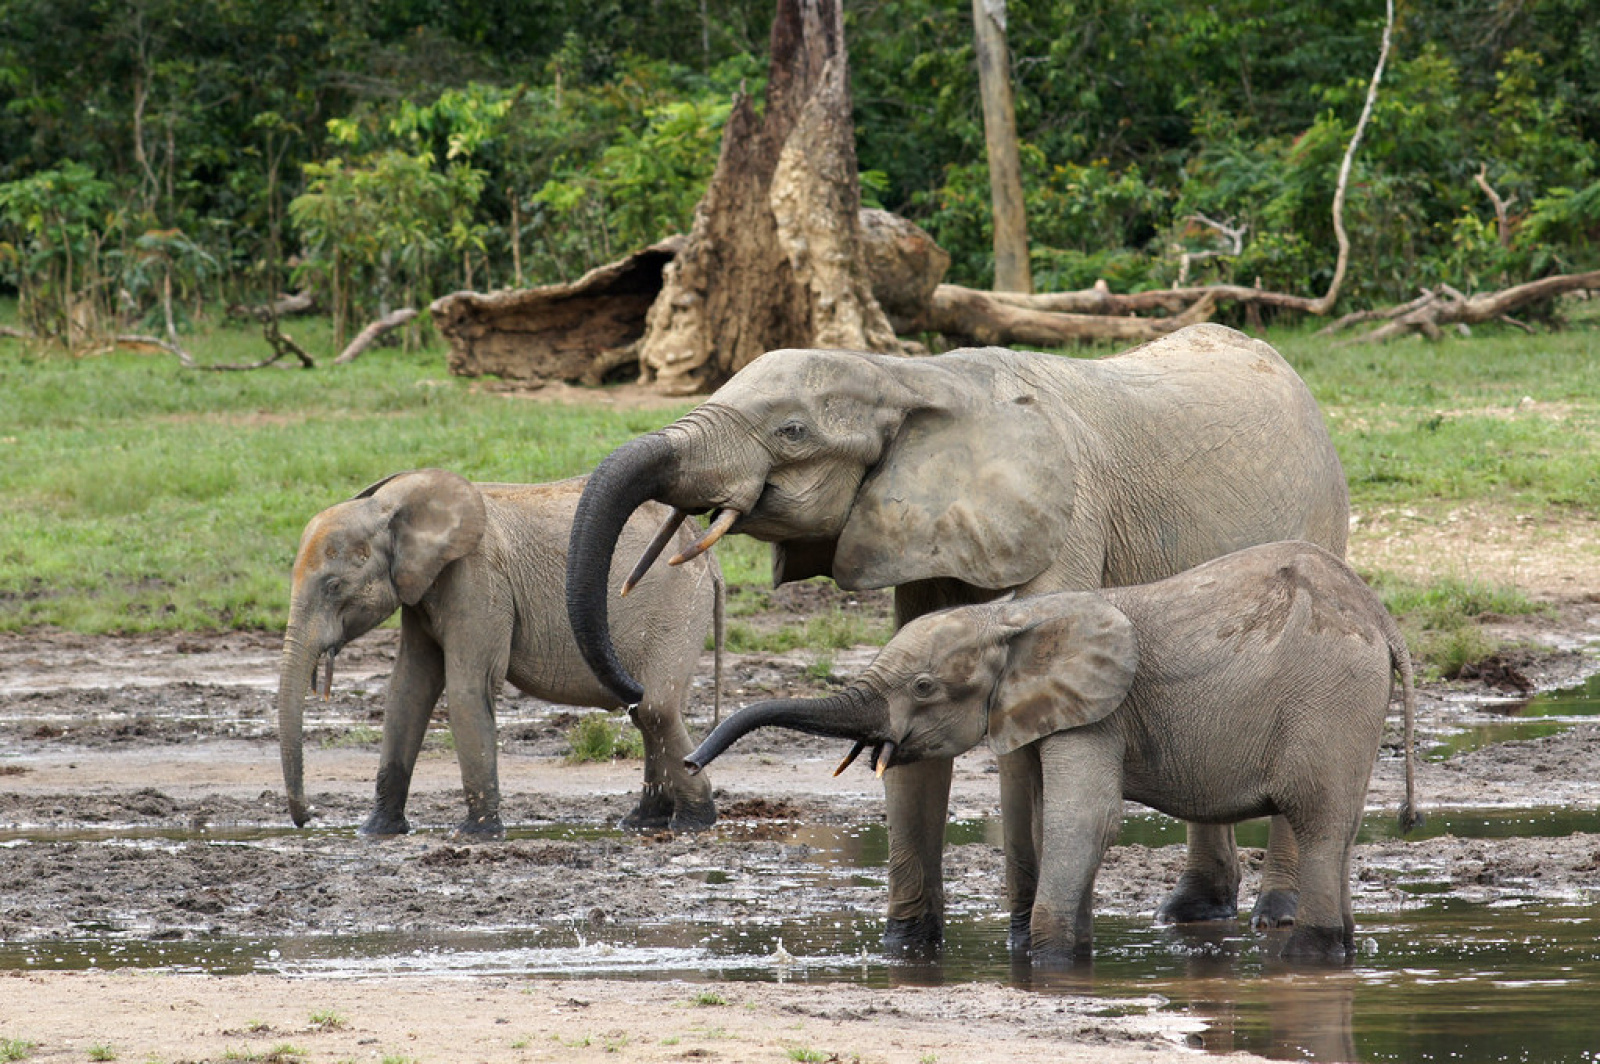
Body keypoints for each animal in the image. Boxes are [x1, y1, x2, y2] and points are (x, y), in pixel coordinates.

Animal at [276, 470, 726, 832]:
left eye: (334, 587)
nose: (308, 818)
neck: (388, 506)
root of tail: (709, 557)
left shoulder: (477, 578)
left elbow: (467, 687)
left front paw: (477, 834)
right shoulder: (420, 590)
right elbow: (408, 689)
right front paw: (376, 832)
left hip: (677, 603)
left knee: (656, 708)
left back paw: (694, 822)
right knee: (649, 712)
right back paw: (641, 822)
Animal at [563, 321, 1350, 947]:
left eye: (792, 432)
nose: (632, 687)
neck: (910, 376)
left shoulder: (1063, 519)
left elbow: (1023, 740)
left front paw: (1019, 943)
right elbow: (911, 732)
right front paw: (906, 948)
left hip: (1321, 518)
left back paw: (1274, 918)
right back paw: (1192, 914)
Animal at [681, 544, 1420, 960]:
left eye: (923, 687)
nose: (691, 762)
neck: (1010, 618)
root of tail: (1384, 619)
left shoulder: (1100, 713)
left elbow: (1083, 817)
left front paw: (1052, 961)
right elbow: (1044, 814)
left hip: (1329, 700)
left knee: (1318, 822)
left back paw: (1308, 957)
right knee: (1340, 830)